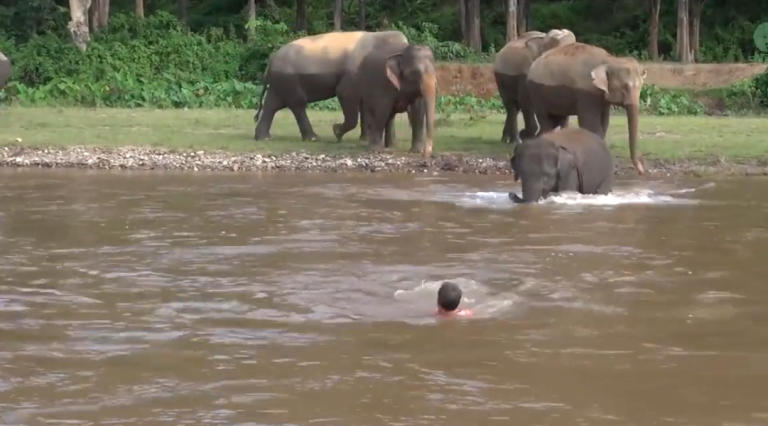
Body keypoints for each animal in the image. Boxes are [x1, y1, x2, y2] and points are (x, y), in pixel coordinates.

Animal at [253, 30, 410, 142]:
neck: (378, 36)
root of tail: (272, 59)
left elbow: (364, 103)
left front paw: (364, 139)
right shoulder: (351, 75)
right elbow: (344, 93)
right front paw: (337, 132)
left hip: (281, 81)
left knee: (272, 104)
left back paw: (264, 138)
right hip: (288, 80)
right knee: (297, 103)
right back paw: (313, 138)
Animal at [526, 42, 647, 175]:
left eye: (641, 86)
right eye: (624, 87)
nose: (642, 170)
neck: (610, 60)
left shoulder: (602, 99)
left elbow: (604, 124)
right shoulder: (586, 94)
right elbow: (592, 125)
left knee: (559, 121)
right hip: (537, 94)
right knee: (545, 121)